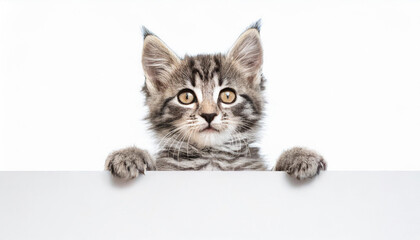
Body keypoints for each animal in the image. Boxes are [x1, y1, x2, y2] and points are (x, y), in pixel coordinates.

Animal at [103, 21, 326, 180]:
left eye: (228, 96)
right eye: (186, 97)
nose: (209, 115)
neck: (211, 157)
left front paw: (298, 156)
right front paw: (129, 155)